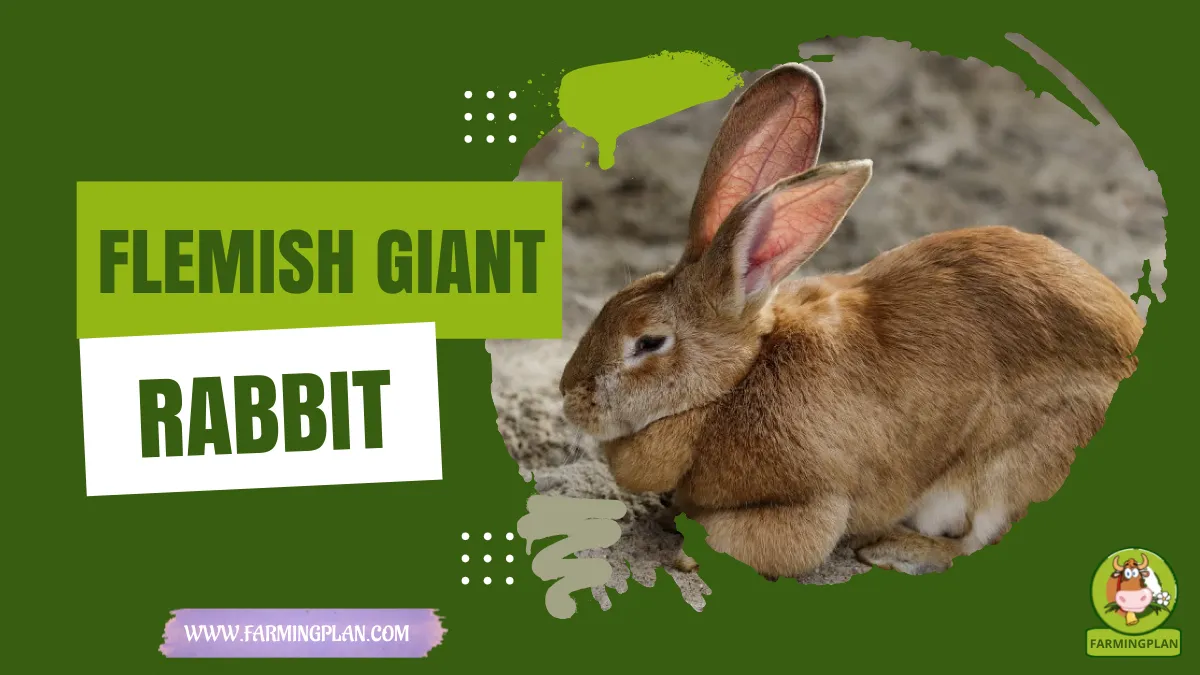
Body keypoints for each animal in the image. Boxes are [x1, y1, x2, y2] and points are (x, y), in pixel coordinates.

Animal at [558, 62, 1143, 579]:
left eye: (649, 342)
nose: (570, 396)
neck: (729, 389)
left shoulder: (812, 502)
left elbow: (768, 542)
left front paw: (687, 556)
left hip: (1014, 469)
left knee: (977, 543)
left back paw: (893, 549)